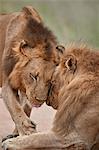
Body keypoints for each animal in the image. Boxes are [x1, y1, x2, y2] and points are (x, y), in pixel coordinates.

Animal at [0, 6, 60, 138]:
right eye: (33, 76)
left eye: (51, 80)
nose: (40, 100)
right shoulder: (7, 82)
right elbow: (15, 108)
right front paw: (28, 130)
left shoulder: (25, 91)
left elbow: (25, 107)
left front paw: (17, 133)